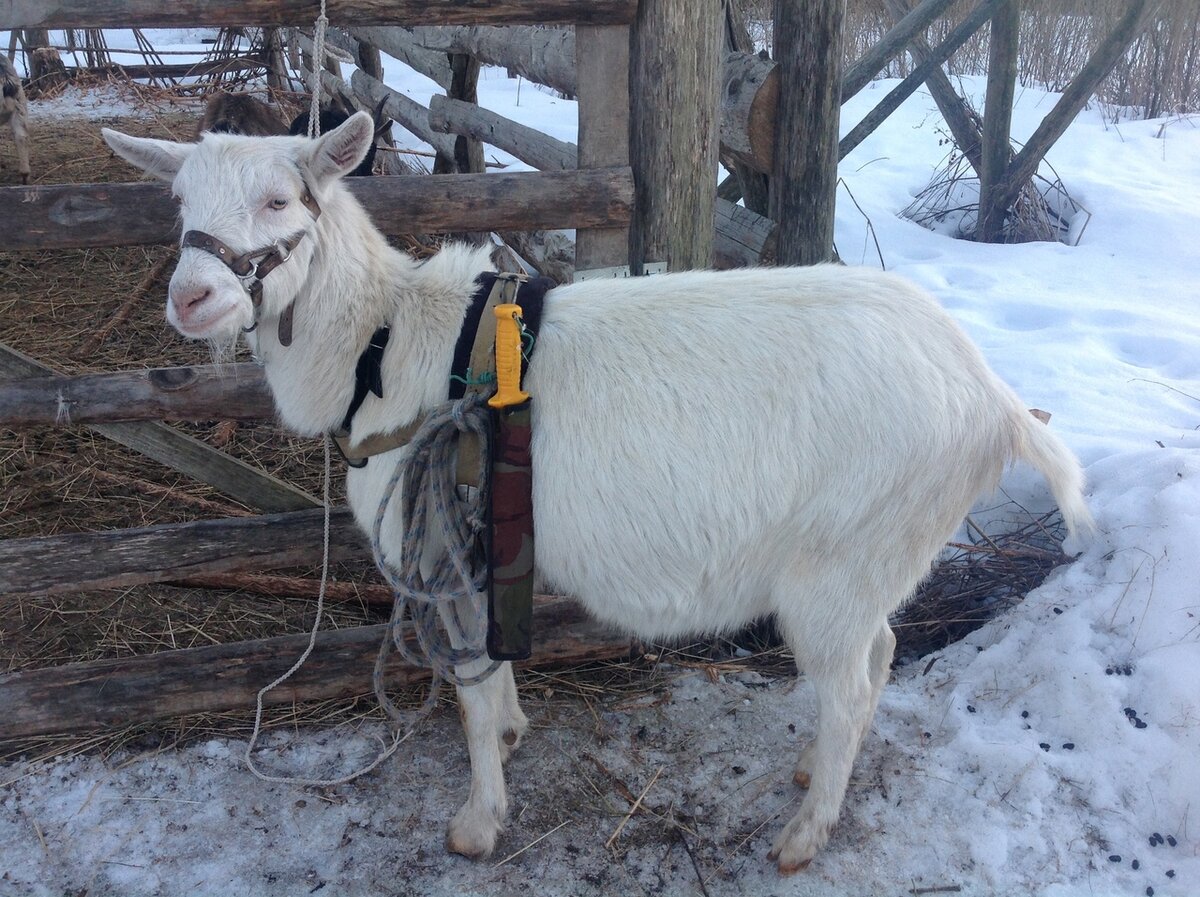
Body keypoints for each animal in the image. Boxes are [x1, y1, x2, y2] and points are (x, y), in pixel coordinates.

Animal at [105, 113, 1099, 877]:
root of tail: (994, 398)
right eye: (181, 205)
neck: (386, 342)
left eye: (279, 200)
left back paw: (803, 836)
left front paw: (478, 821)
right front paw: (512, 735)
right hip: (875, 562)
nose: (191, 299)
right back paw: (812, 772)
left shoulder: (446, 548)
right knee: (881, 655)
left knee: (853, 686)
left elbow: (468, 687)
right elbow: (492, 672)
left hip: (843, 558)